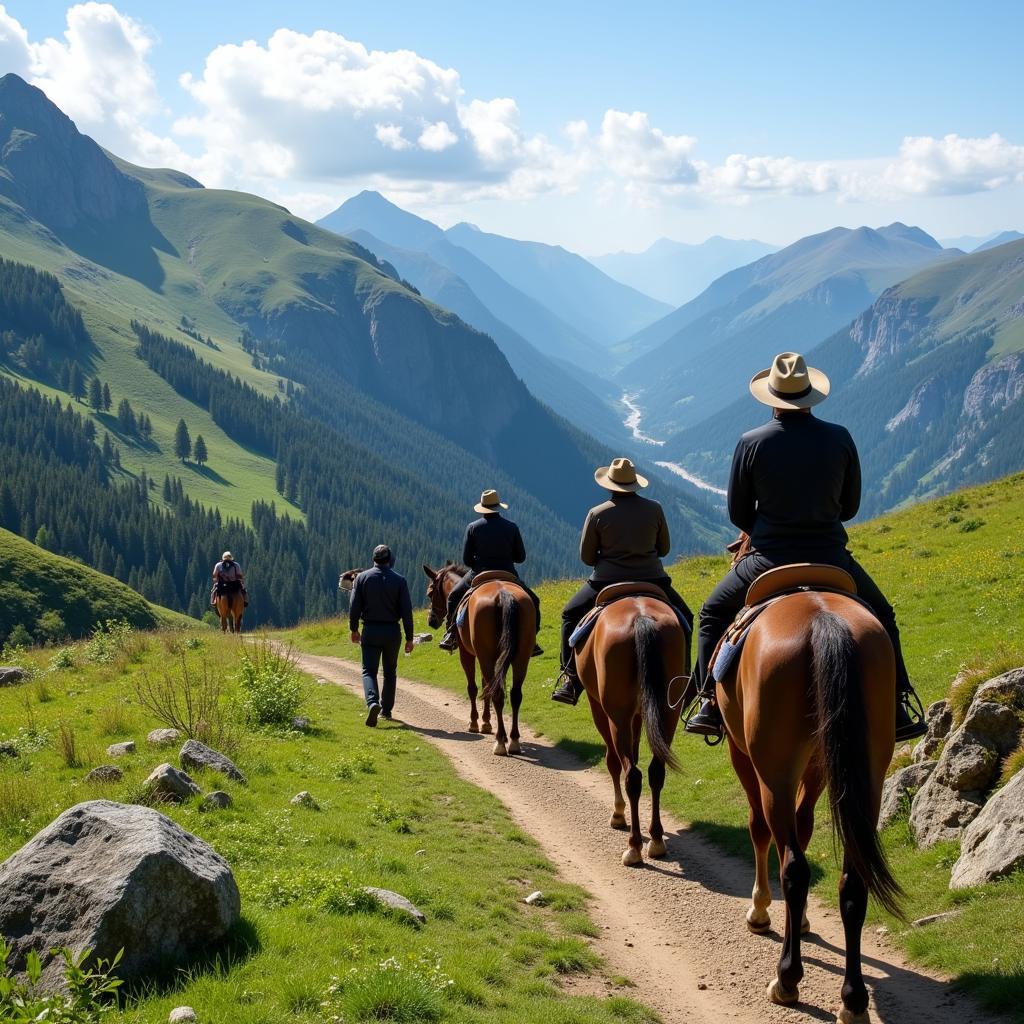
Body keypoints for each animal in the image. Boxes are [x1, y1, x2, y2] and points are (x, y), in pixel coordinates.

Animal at [421, 565, 536, 757]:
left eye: (430, 593)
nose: (432, 621)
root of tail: (503, 594)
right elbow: (485, 686)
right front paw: (486, 722)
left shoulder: (468, 654)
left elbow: (473, 688)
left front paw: (475, 723)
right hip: (521, 657)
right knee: (514, 695)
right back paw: (513, 740)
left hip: (486, 656)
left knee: (497, 693)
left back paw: (500, 742)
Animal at [577, 589, 688, 868]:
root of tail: (641, 617)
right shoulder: (640, 714)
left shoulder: (598, 707)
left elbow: (612, 761)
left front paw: (618, 814)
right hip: (668, 711)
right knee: (655, 771)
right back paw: (657, 840)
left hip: (617, 716)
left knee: (632, 775)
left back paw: (634, 846)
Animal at [720, 581, 905, 1019]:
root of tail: (824, 620)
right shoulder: (820, 763)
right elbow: (803, 828)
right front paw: (799, 921)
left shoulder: (741, 753)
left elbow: (760, 830)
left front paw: (761, 910)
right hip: (867, 775)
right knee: (854, 880)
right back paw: (853, 1001)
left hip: (774, 772)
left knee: (793, 867)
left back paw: (787, 978)